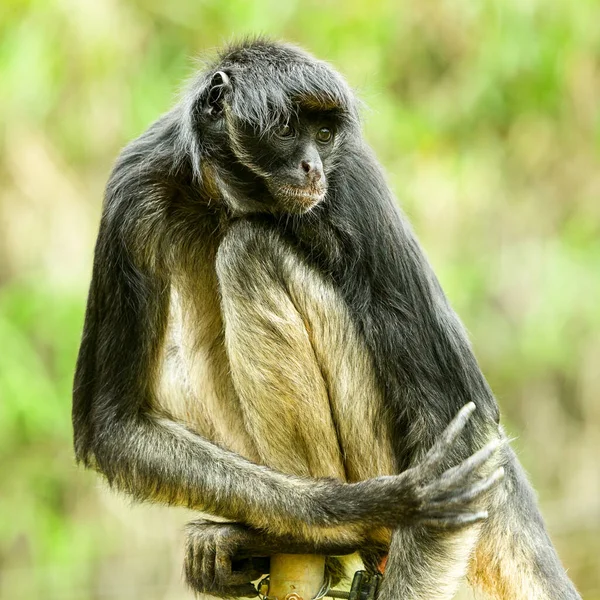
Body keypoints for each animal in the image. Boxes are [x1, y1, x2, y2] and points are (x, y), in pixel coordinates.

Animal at [71, 39, 580, 596]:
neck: (228, 198)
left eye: (324, 135)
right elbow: (115, 427)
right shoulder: (135, 182)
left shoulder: (351, 176)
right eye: (286, 130)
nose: (313, 167)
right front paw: (358, 503)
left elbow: (458, 421)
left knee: (251, 249)